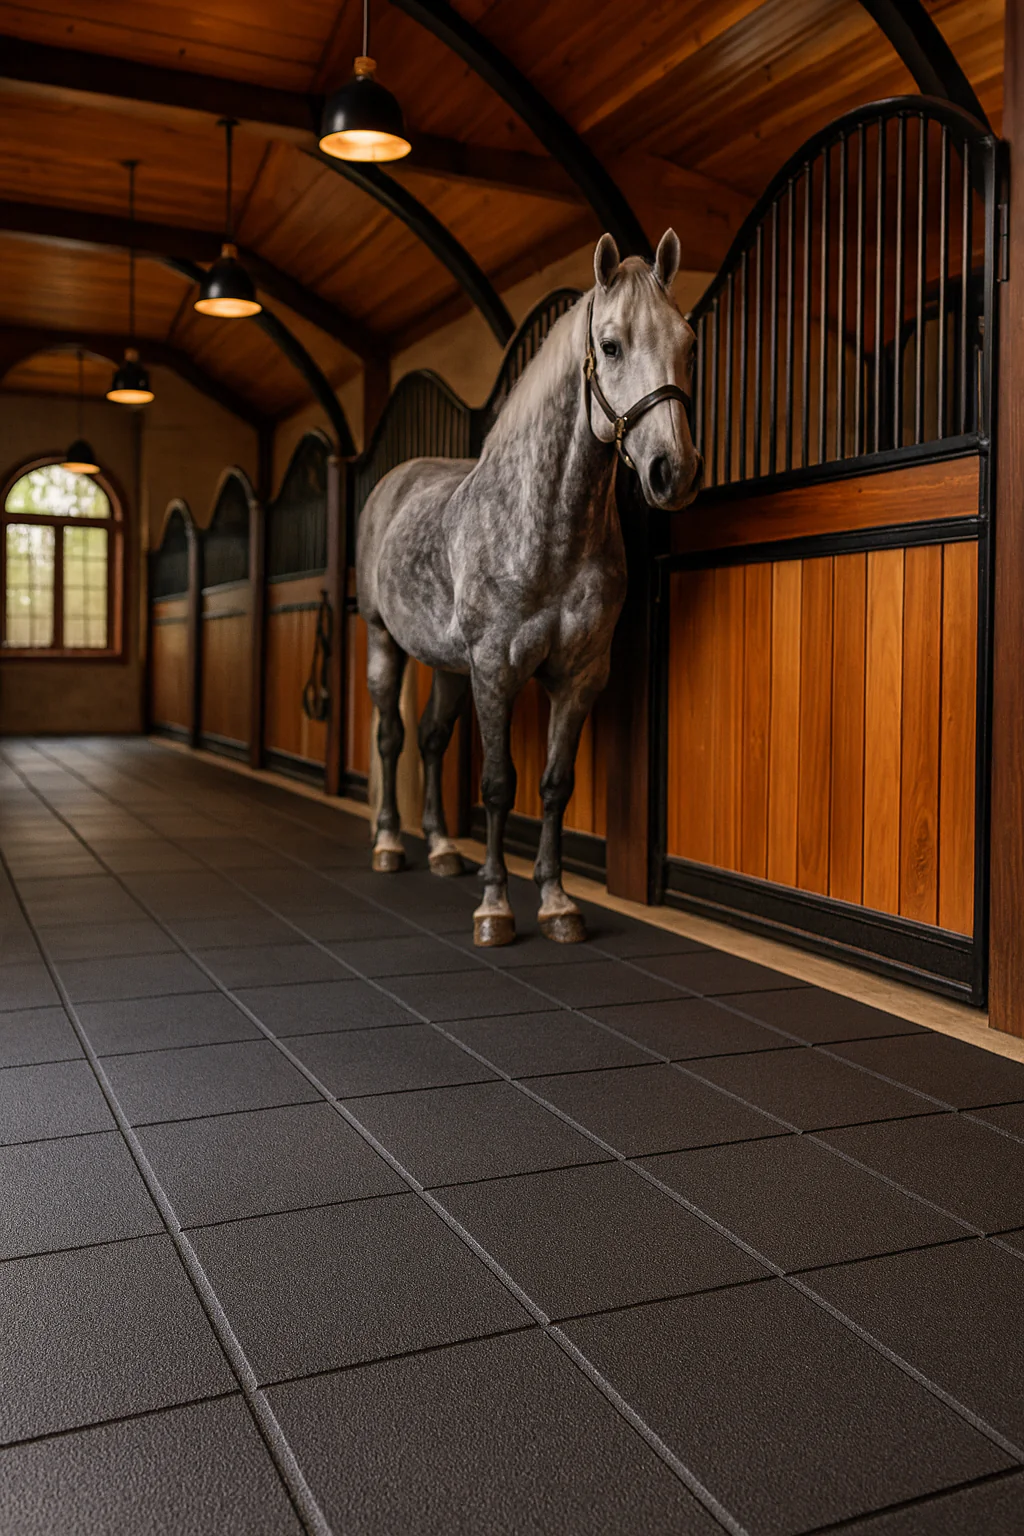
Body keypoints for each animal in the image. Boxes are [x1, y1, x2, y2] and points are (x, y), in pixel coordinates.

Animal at [356, 229, 702, 947]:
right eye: (610, 345)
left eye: (688, 342)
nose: (673, 471)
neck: (546, 531)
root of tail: (396, 479)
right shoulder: (496, 670)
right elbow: (496, 784)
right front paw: (495, 907)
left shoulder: (580, 676)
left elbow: (552, 784)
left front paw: (556, 902)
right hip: (384, 643)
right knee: (391, 738)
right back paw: (390, 845)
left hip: (448, 666)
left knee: (430, 740)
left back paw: (440, 848)